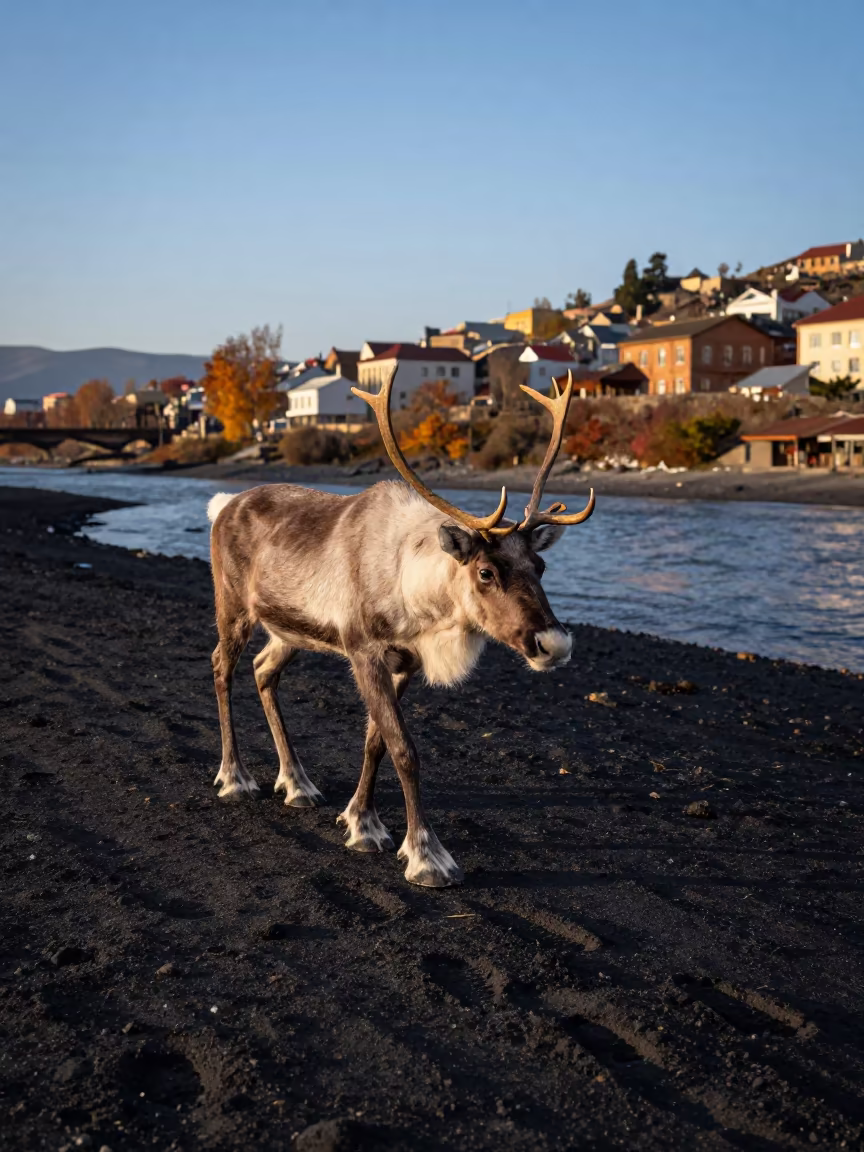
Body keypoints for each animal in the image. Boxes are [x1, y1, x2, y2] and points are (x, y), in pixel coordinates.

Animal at [207, 368, 594, 887]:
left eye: (541, 565)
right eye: (486, 572)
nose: (553, 643)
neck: (418, 592)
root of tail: (225, 504)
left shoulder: (405, 661)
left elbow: (376, 740)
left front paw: (360, 821)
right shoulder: (362, 650)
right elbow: (404, 748)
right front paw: (426, 855)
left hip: (289, 631)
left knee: (264, 670)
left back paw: (297, 782)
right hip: (232, 608)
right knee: (222, 667)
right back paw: (235, 777)